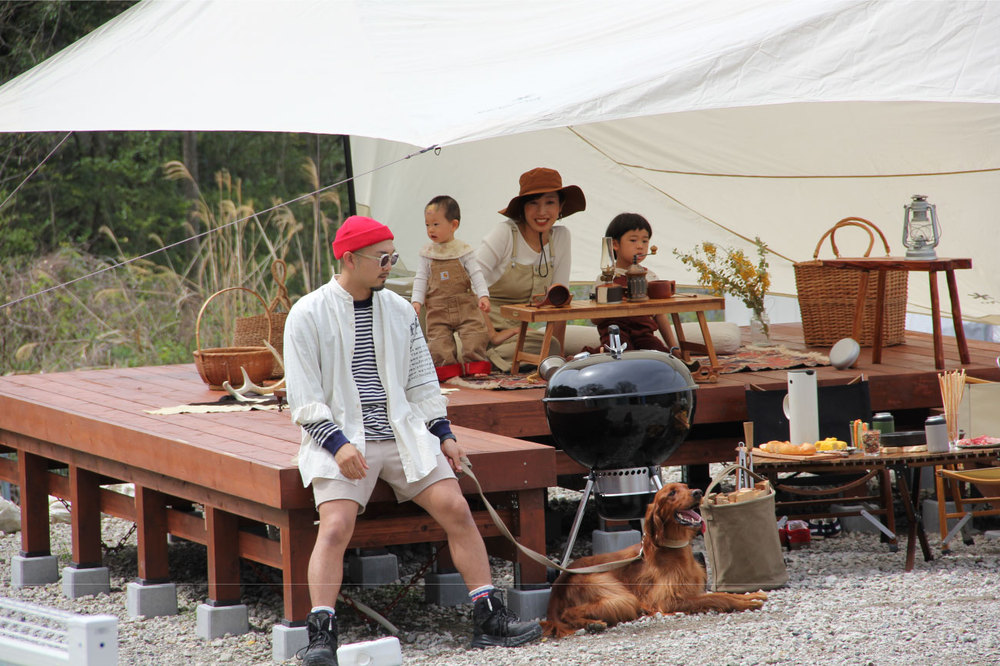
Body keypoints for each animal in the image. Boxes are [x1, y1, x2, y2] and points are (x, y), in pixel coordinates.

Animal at [540, 480, 764, 636]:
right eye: (672, 493)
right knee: (568, 613)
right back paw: (592, 624)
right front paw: (744, 602)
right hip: (620, 595)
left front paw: (750, 596)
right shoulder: (668, 600)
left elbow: (719, 593)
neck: (674, 550)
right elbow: (717, 597)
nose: (698, 492)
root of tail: (559, 582)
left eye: (686, 486)